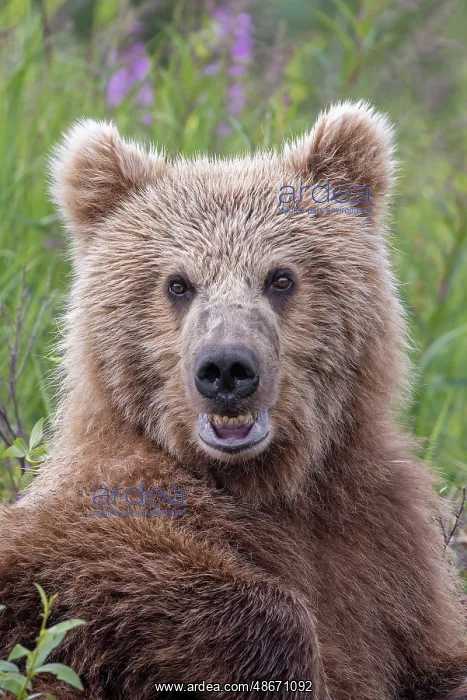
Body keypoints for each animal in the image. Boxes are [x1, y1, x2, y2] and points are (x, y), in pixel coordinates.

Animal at [0, 100, 466, 700]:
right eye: (177, 283)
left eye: (281, 277)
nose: (226, 368)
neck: (261, 481)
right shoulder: (109, 526)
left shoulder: (384, 552)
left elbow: (431, 657)